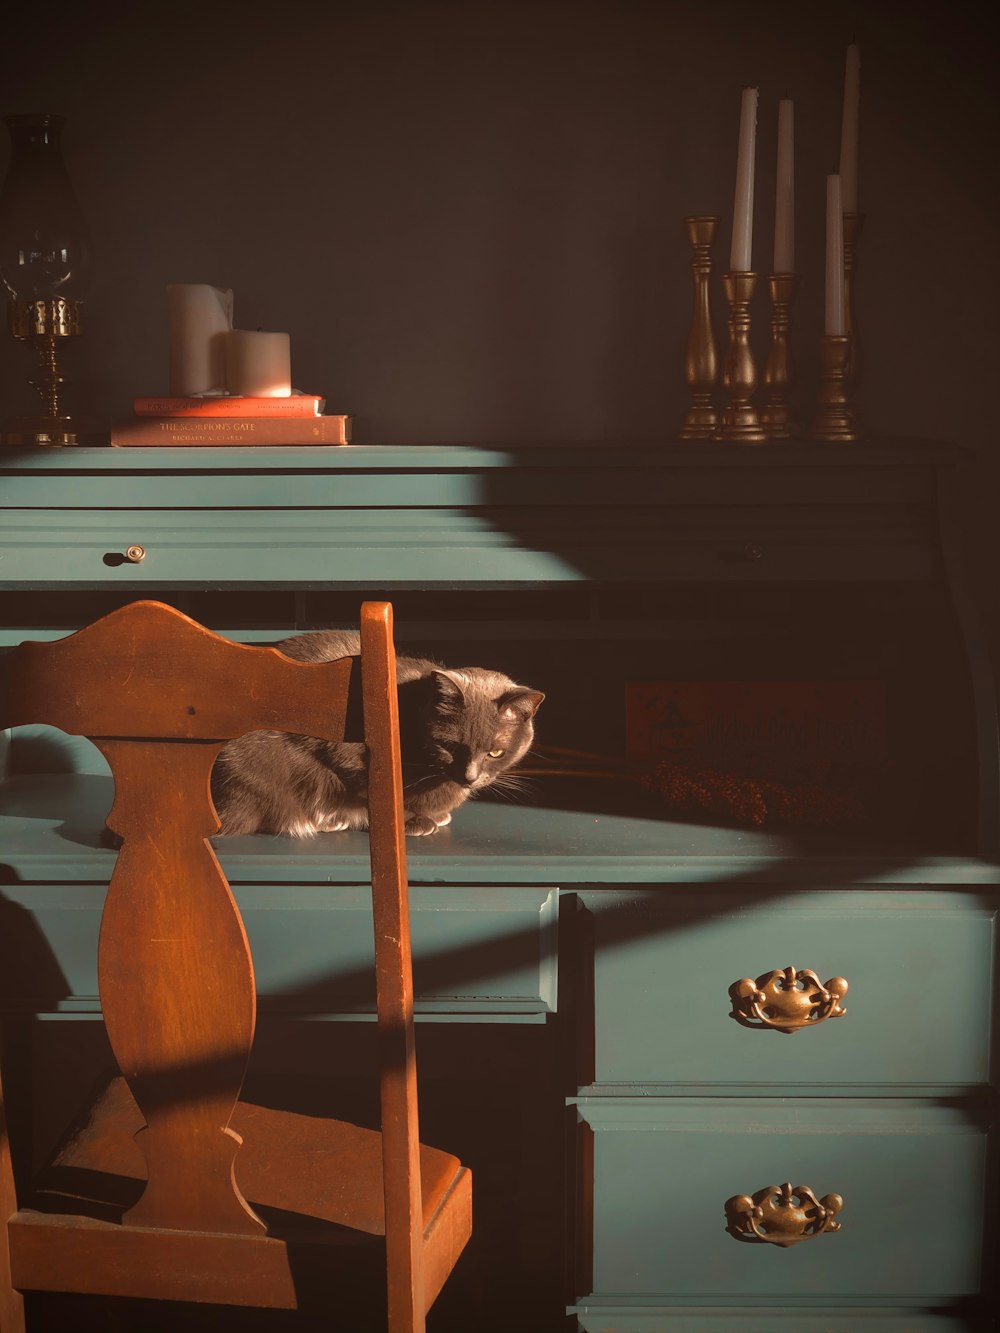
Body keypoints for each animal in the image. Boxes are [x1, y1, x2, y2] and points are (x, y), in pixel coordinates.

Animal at [208, 631, 544, 837]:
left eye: (495, 752)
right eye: (449, 746)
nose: (470, 777)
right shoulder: (348, 751)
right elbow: (378, 794)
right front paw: (414, 821)